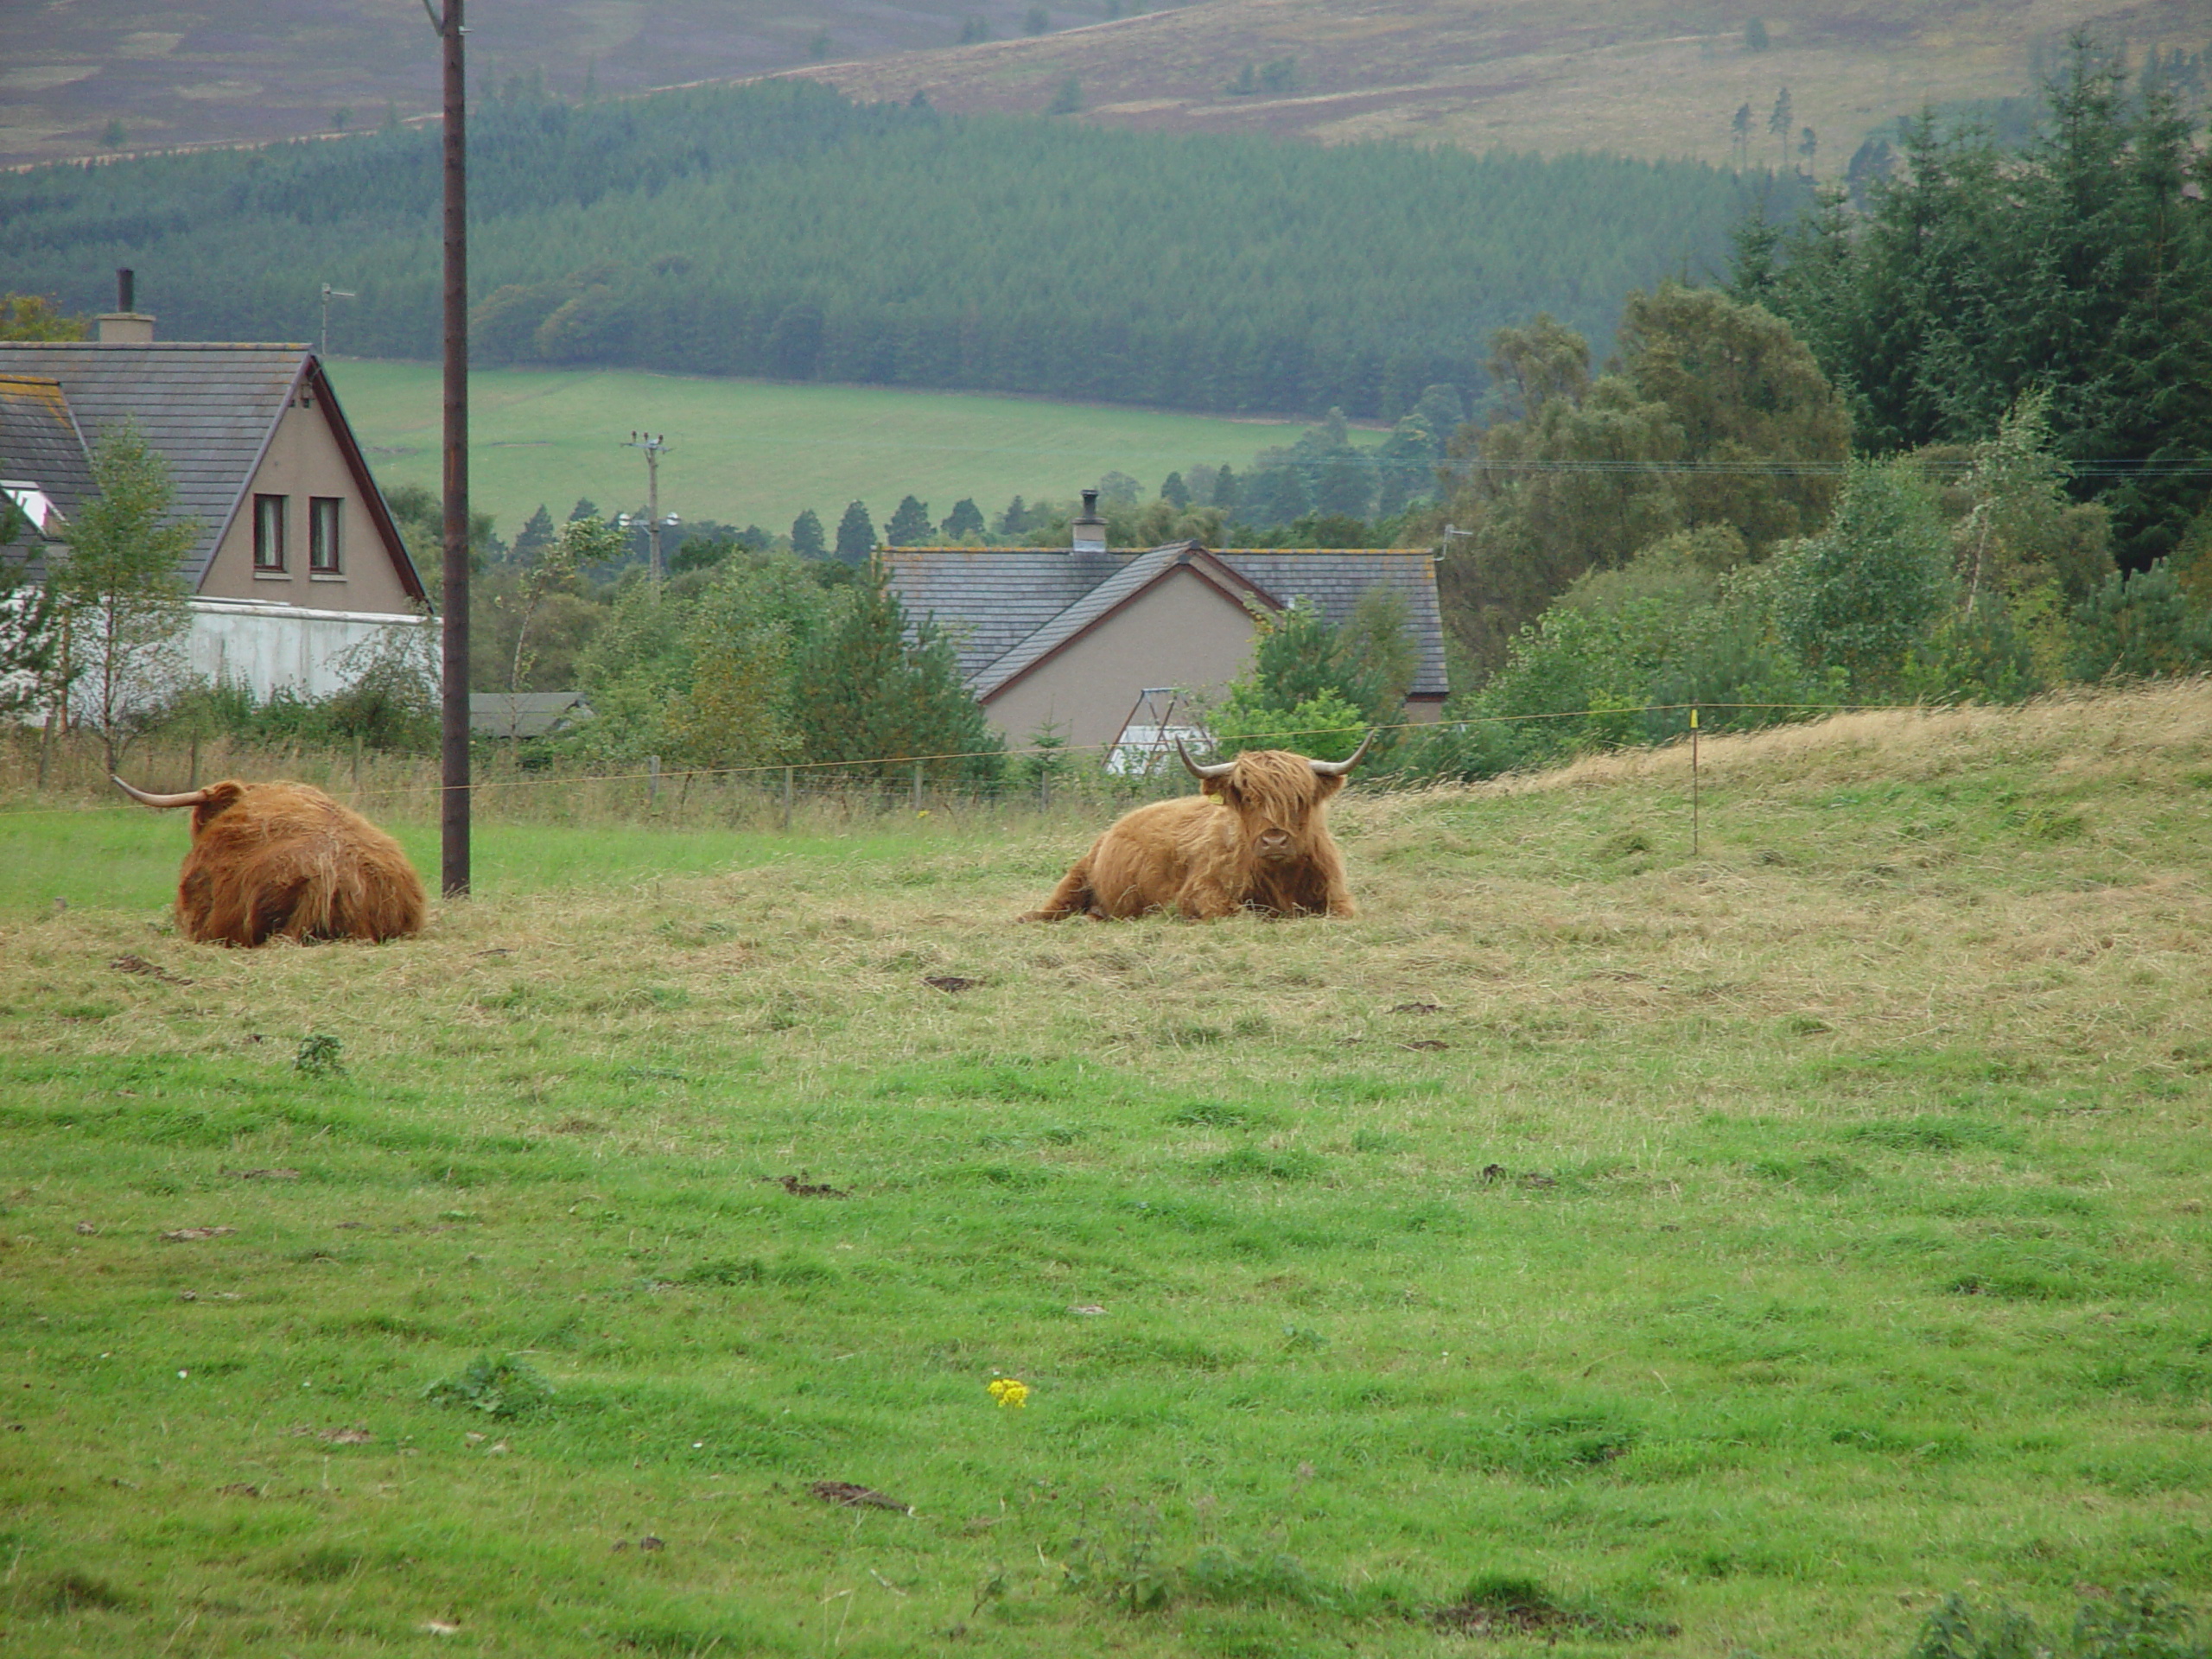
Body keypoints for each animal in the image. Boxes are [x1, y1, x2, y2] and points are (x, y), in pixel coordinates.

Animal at [1013, 739, 1362, 929]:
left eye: (1300, 798)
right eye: (1248, 798)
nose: (1274, 840)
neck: (1281, 879)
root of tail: (1114, 828)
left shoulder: (1339, 898)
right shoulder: (1201, 892)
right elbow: (1241, 915)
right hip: (1075, 879)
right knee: (1050, 911)